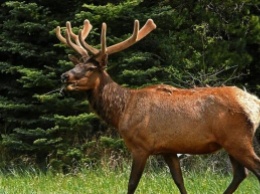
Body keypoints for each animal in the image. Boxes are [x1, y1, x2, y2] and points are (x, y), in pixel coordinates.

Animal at [55, 18, 260, 194]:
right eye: (76, 64)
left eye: (91, 68)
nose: (64, 76)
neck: (122, 111)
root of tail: (253, 103)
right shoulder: (168, 149)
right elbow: (179, 180)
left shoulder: (141, 146)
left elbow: (132, 183)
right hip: (230, 142)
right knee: (240, 174)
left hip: (237, 138)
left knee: (254, 169)